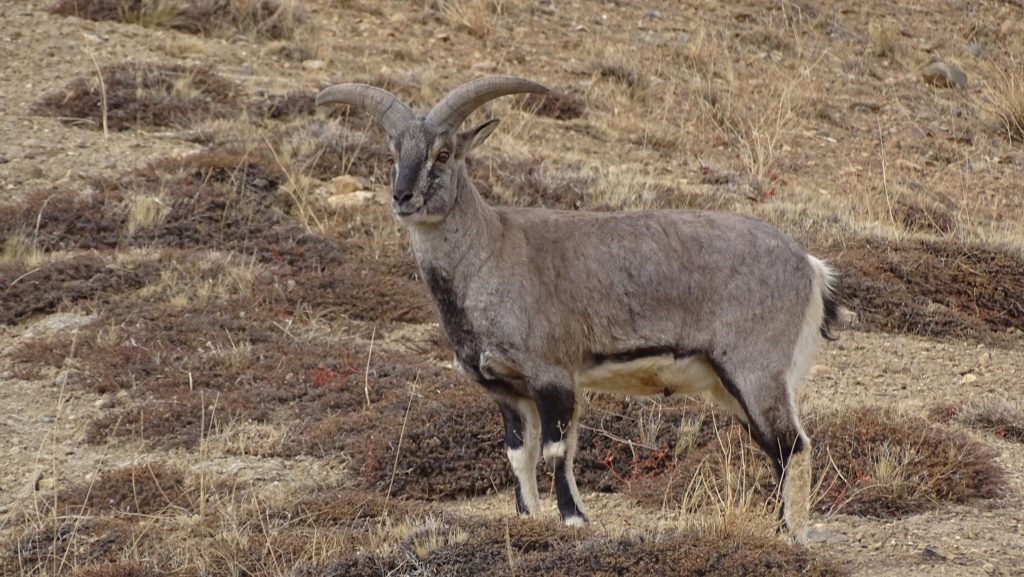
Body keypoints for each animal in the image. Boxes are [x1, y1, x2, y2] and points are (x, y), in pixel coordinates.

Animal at [316, 76, 840, 541]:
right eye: (393, 155)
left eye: (443, 154)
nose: (402, 196)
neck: (492, 253)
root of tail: (811, 268)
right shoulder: (508, 390)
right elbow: (518, 454)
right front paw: (527, 517)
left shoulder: (554, 376)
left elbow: (555, 449)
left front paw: (574, 519)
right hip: (730, 384)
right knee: (778, 449)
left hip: (755, 371)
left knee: (793, 445)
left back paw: (787, 534)